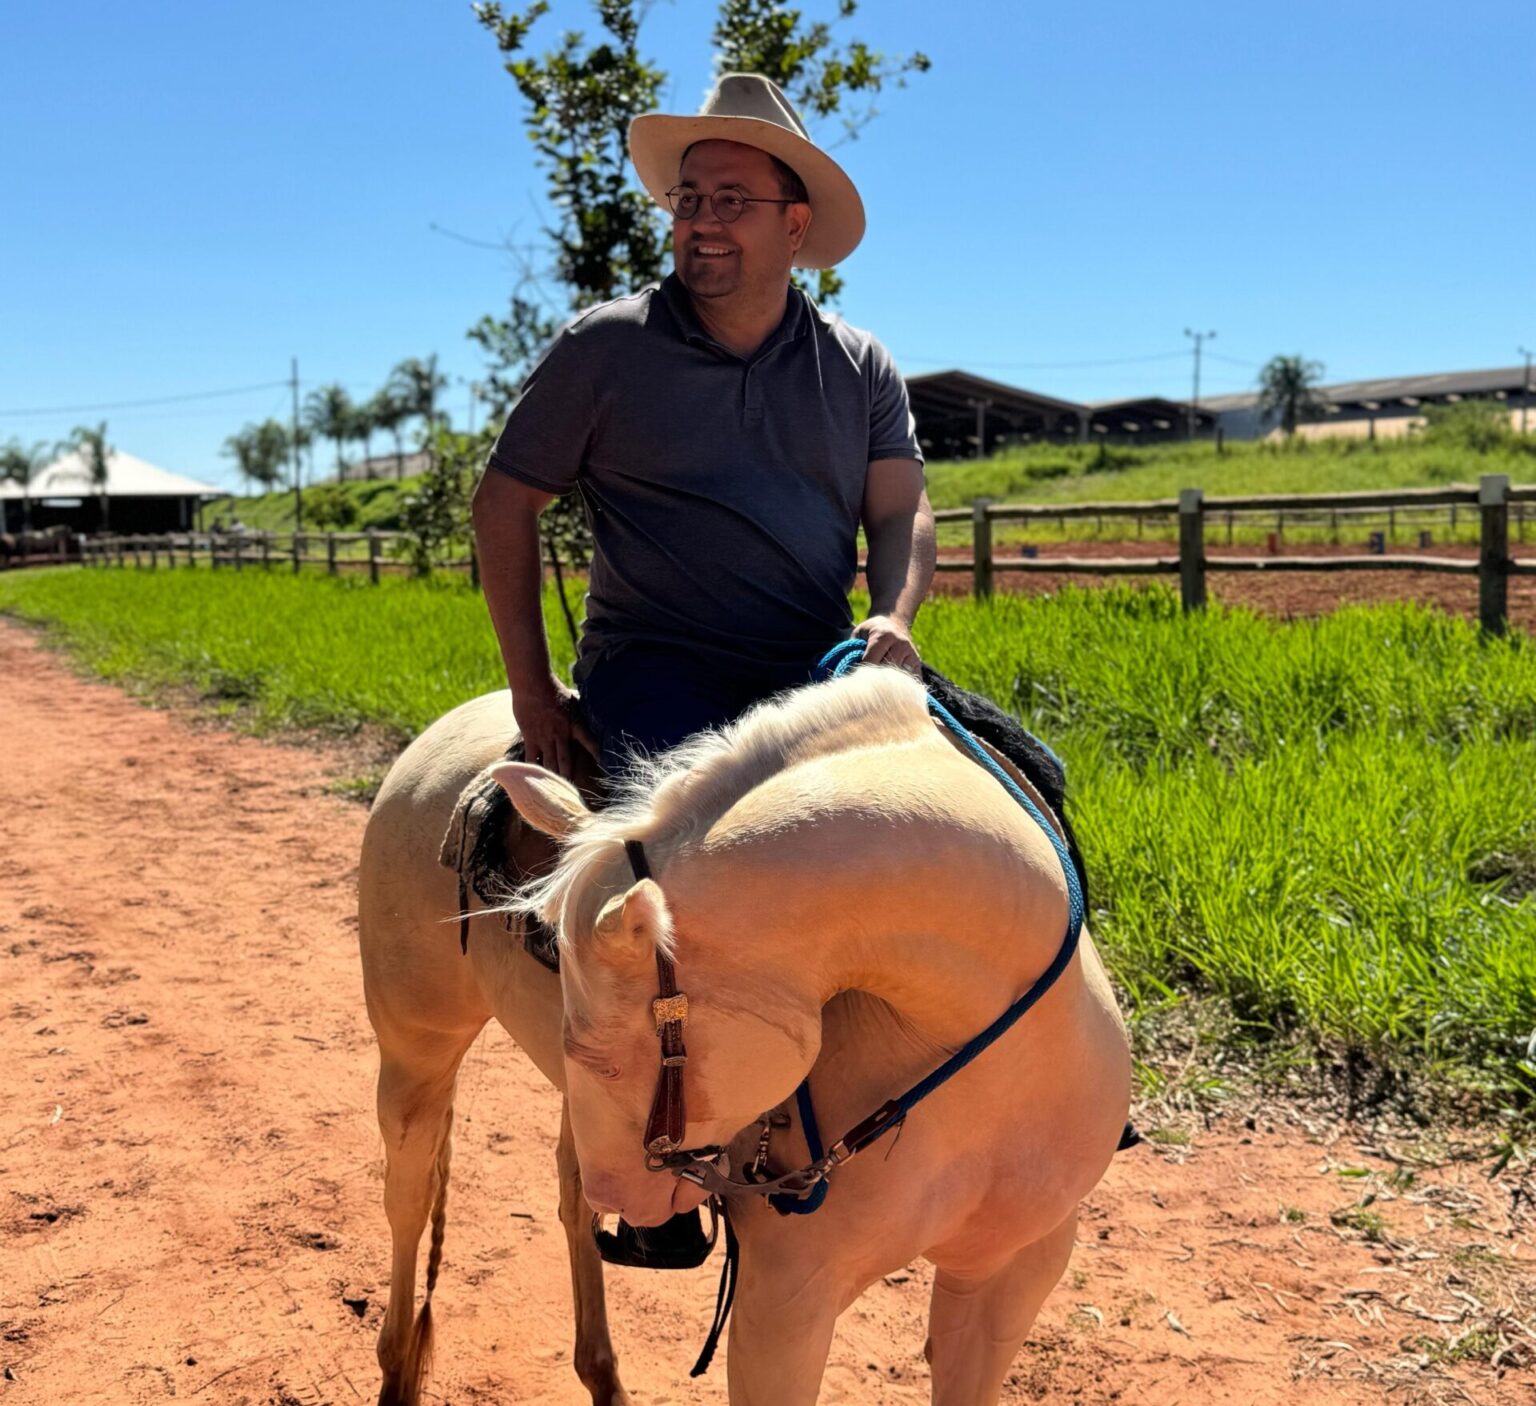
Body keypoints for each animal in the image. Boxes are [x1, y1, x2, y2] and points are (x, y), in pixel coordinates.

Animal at [359, 666, 1130, 1406]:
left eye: (599, 1059)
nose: (625, 1201)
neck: (988, 1069)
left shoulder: (1012, 1275)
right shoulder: (786, 1304)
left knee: (567, 1196)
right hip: (415, 1055)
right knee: (411, 1197)